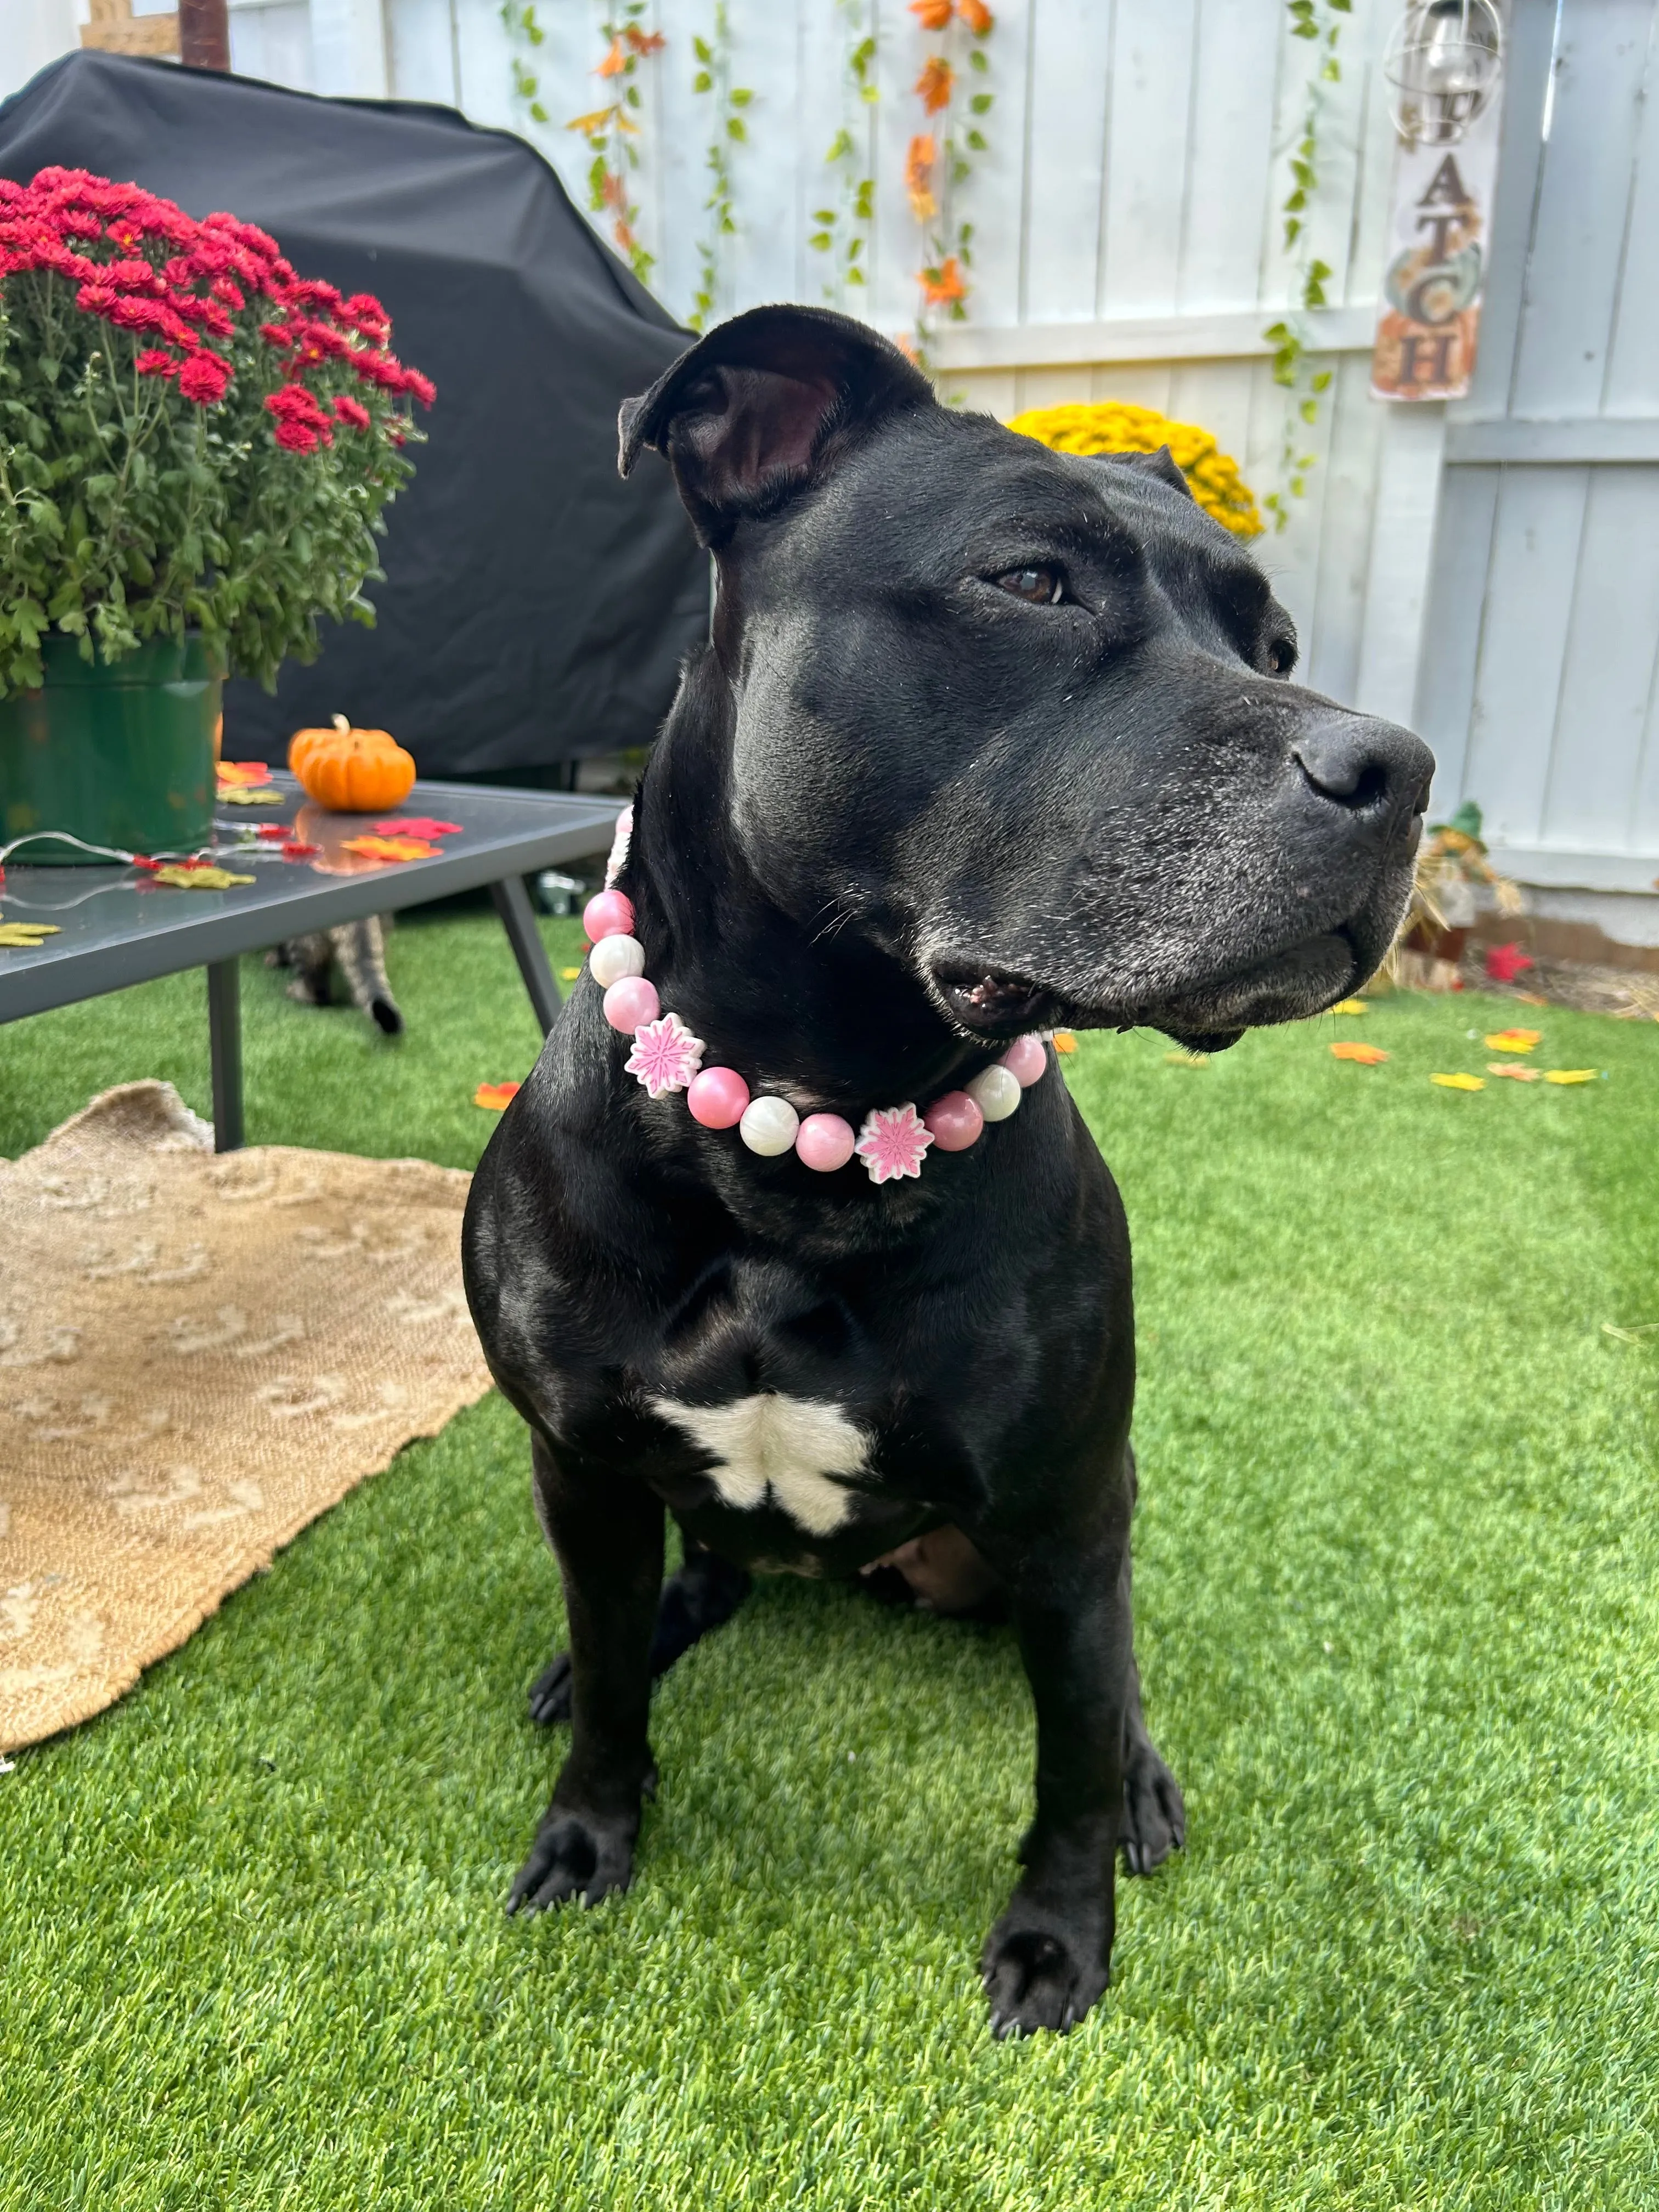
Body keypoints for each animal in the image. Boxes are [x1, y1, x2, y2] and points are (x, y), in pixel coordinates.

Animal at [462, 307, 1433, 2035]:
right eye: (1033, 584)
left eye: (1272, 648)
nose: (1400, 770)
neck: (805, 1139)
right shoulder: (575, 1464)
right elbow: (618, 1701)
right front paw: (588, 1829)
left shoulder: (1063, 1500)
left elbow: (1068, 1755)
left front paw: (1059, 1934)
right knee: (683, 1590)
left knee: (1109, 1676)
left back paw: (1145, 1778)